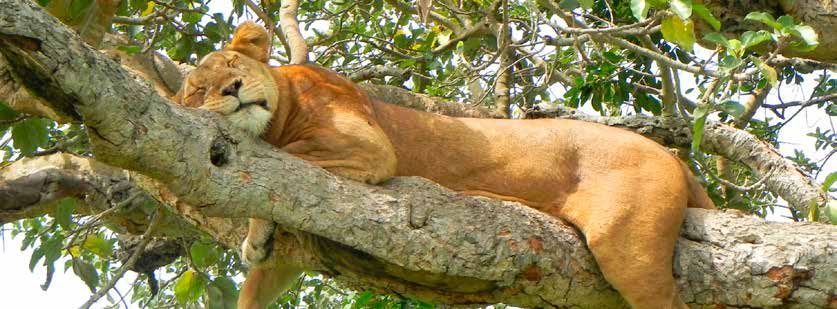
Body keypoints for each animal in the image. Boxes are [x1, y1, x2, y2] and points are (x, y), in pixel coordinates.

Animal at [175, 22, 712, 308]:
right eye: (198, 90)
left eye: (232, 66)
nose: (232, 90)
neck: (280, 111)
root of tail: (670, 156)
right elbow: (258, 280)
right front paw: (258, 239)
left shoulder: (370, 147)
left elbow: (285, 157)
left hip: (628, 248)